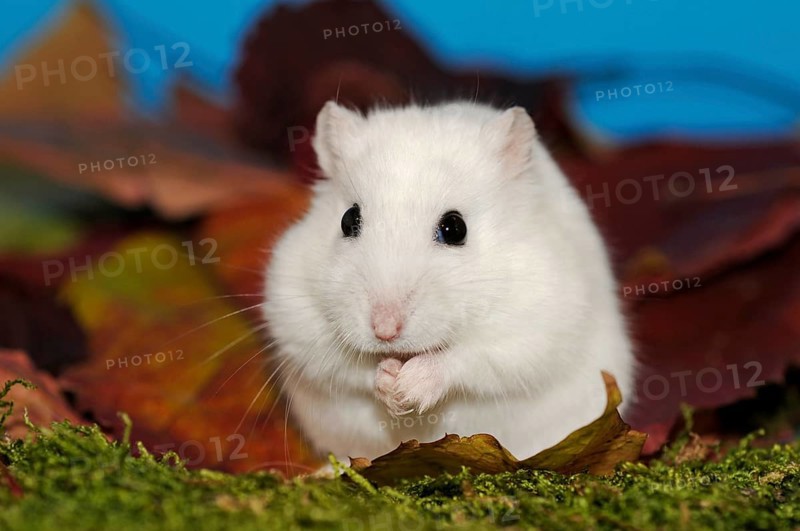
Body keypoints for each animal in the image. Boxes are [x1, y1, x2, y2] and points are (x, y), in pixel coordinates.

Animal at [263, 100, 635, 462]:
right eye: (347, 219)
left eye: (455, 228)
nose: (384, 330)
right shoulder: (297, 320)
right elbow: (353, 367)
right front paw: (391, 386)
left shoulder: (529, 328)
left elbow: (465, 358)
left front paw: (409, 388)